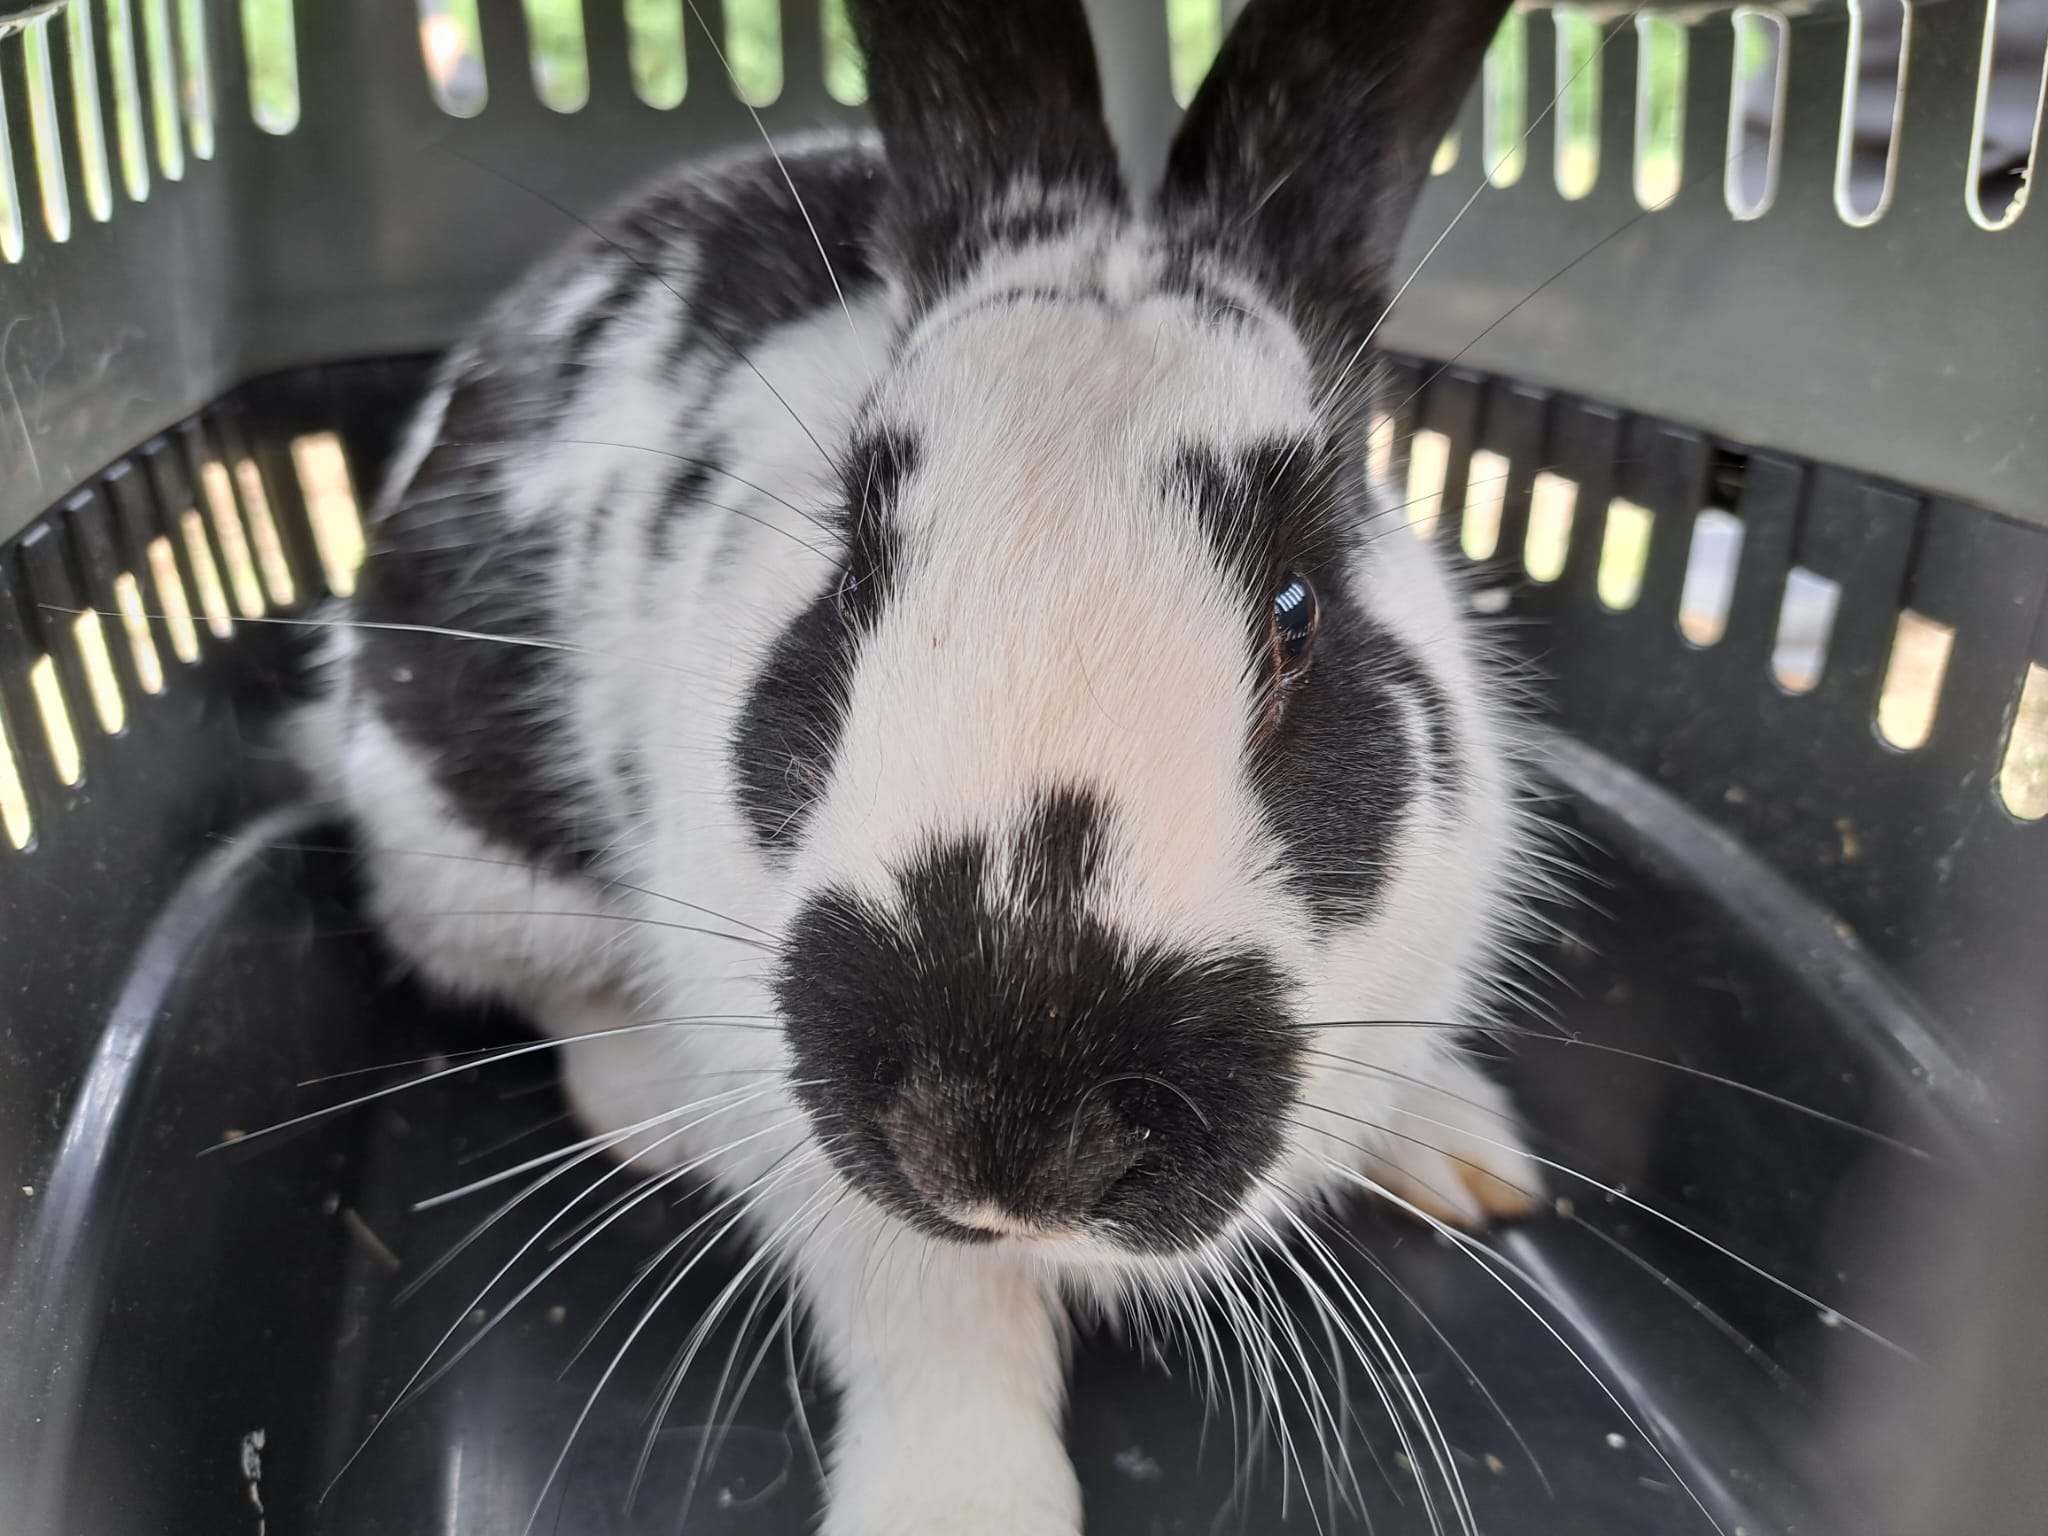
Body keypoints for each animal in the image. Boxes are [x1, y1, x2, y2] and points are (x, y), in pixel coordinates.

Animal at [292, 0, 1547, 1529]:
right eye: (851, 573)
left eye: (1298, 611)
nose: (1002, 1140)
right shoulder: (816, 1142)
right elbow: (940, 1332)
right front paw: (955, 1504)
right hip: (462, 857)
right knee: (538, 985)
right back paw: (651, 1112)